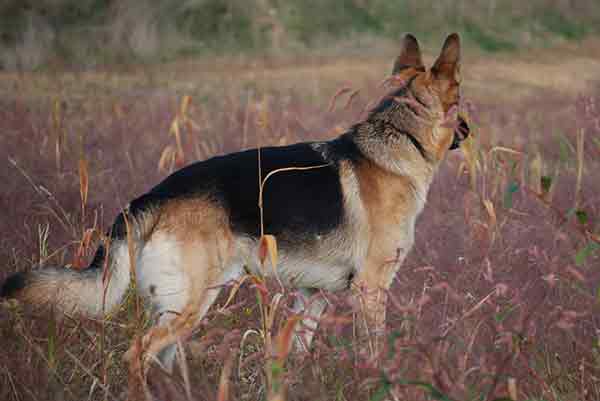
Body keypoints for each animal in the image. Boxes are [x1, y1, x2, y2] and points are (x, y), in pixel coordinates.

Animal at [0, 33, 468, 368]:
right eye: (461, 98)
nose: (469, 128)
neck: (399, 138)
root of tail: (150, 197)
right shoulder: (371, 290)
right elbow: (374, 354)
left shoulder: (311, 295)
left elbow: (294, 354)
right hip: (188, 305)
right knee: (137, 354)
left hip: (183, 309)